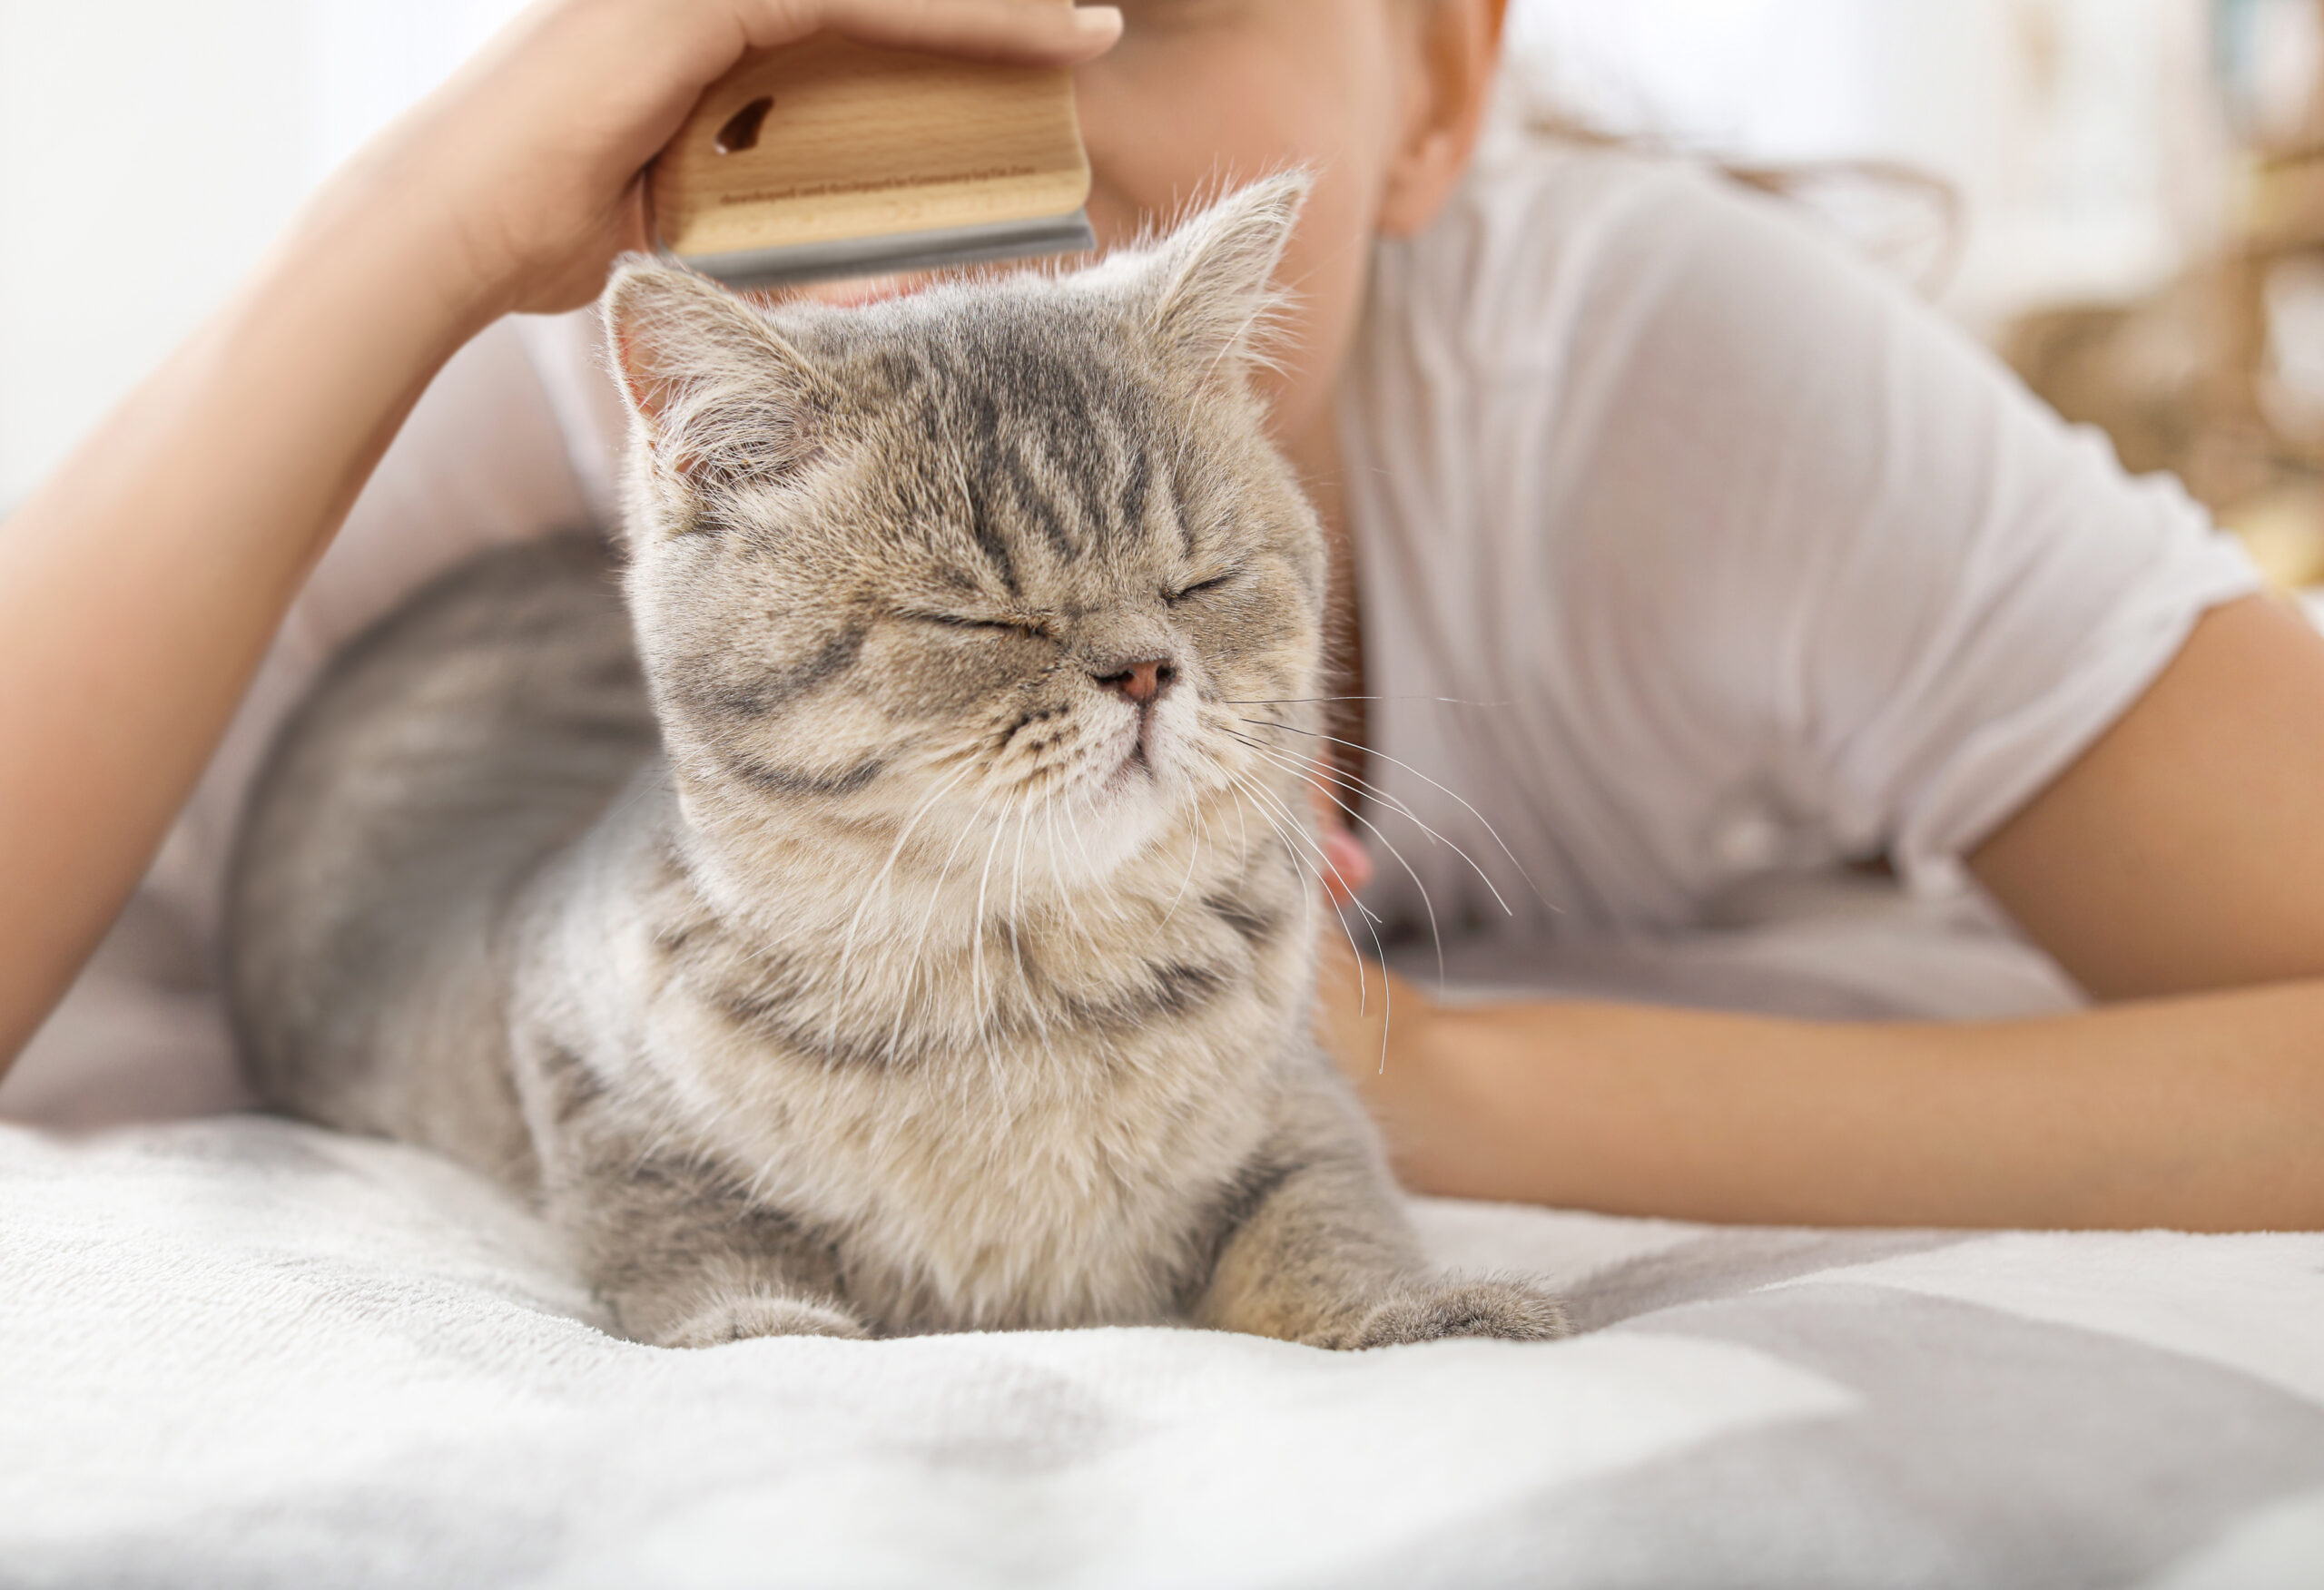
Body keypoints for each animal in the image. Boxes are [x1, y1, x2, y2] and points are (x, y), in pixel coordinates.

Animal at [231, 180, 1561, 1348]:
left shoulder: (1305, 1107)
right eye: (977, 618)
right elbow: (691, 1234)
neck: (1018, 1003)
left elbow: (1327, 1220)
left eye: (1202, 581)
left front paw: (1417, 1314)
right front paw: (759, 1327)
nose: (1145, 671)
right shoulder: (578, 1068)